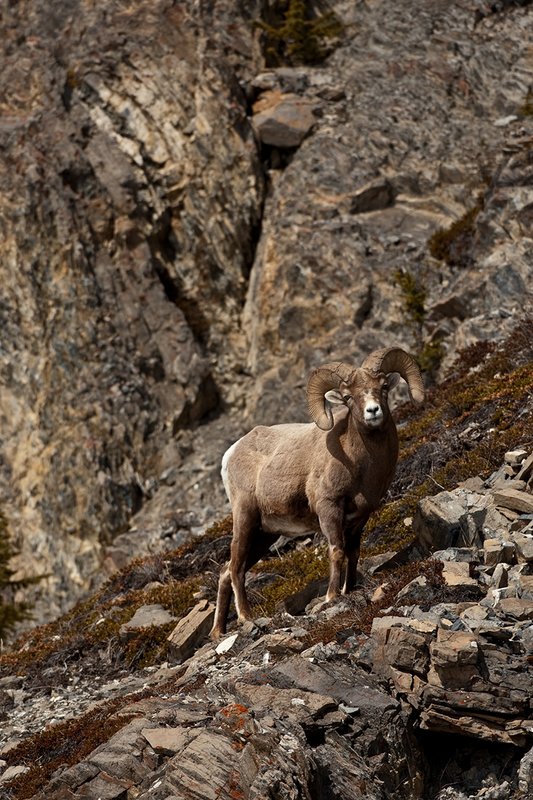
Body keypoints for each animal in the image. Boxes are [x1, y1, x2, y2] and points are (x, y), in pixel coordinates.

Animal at [211, 347, 425, 638]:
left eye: (382, 387)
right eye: (348, 397)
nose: (373, 411)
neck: (361, 464)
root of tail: (231, 454)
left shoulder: (359, 517)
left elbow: (353, 552)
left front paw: (350, 590)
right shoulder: (328, 508)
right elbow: (336, 551)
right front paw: (332, 597)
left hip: (264, 534)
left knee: (226, 570)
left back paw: (218, 632)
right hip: (245, 519)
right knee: (235, 569)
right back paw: (245, 617)